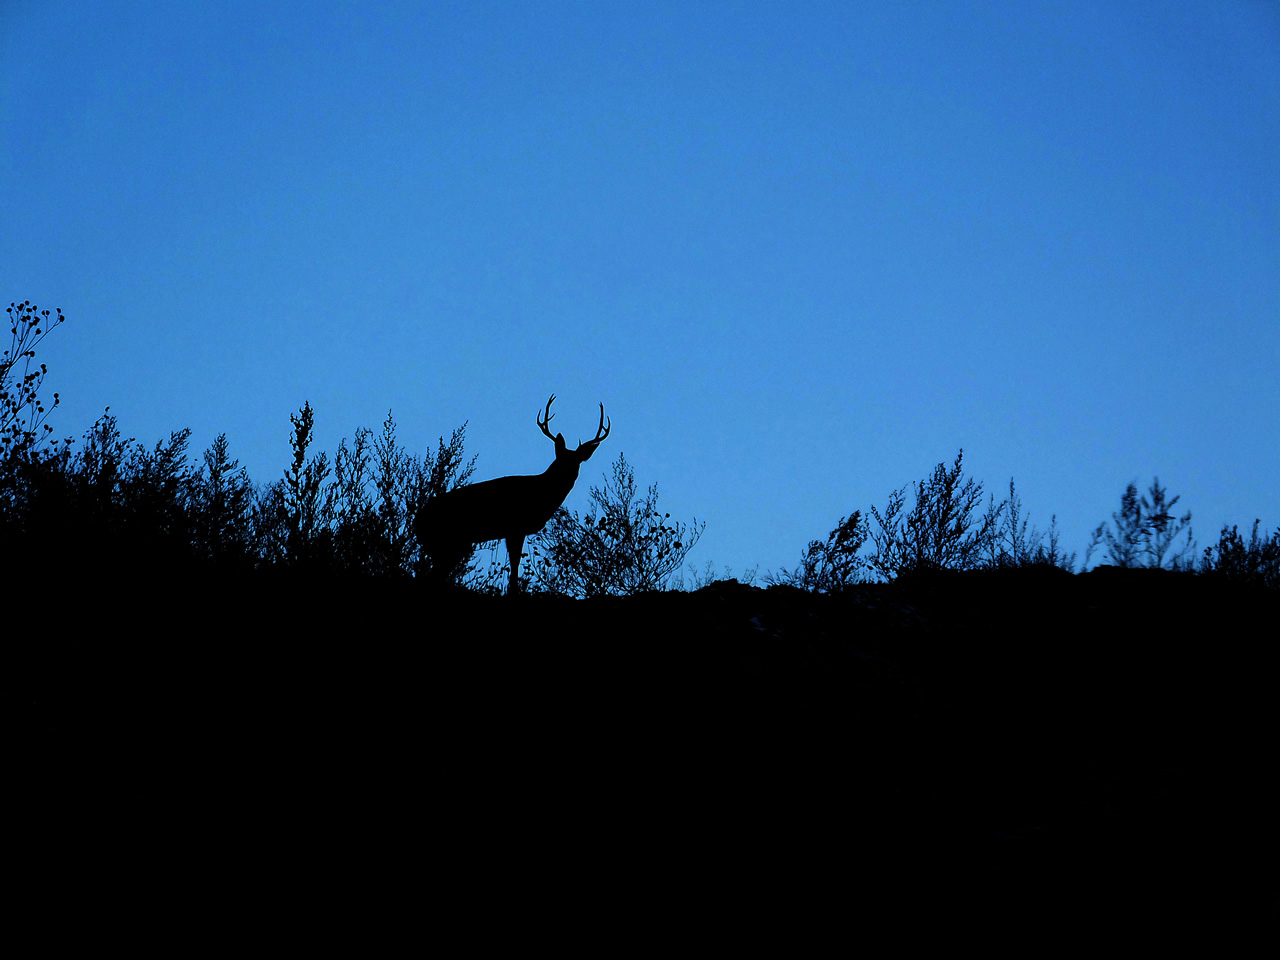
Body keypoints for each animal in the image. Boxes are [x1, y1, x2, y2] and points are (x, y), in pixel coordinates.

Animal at [415, 395, 610, 594]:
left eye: (578, 461)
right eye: (561, 458)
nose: (569, 471)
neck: (542, 495)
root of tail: (417, 522)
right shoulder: (515, 527)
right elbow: (515, 561)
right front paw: (513, 590)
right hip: (450, 543)